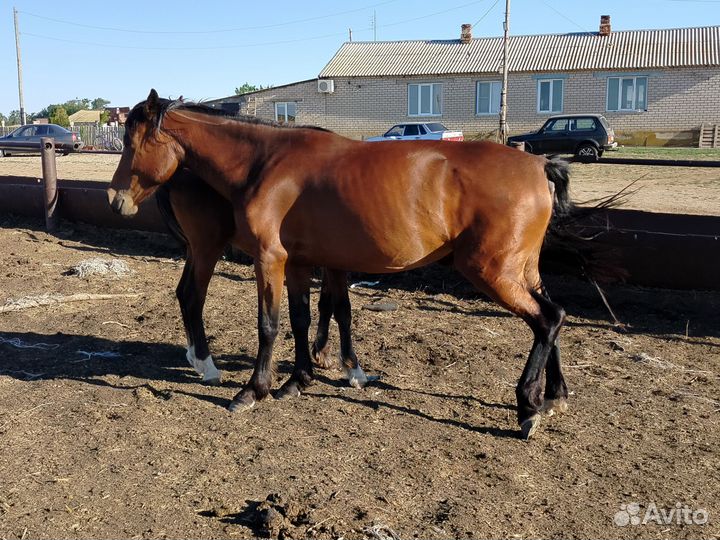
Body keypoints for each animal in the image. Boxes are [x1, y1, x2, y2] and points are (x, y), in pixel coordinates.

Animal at [154, 168, 368, 388]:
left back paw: (195, 357)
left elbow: (327, 301)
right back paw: (208, 366)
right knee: (192, 297)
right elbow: (341, 307)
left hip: (194, 248)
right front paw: (348, 365)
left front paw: (322, 352)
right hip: (208, 245)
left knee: (182, 291)